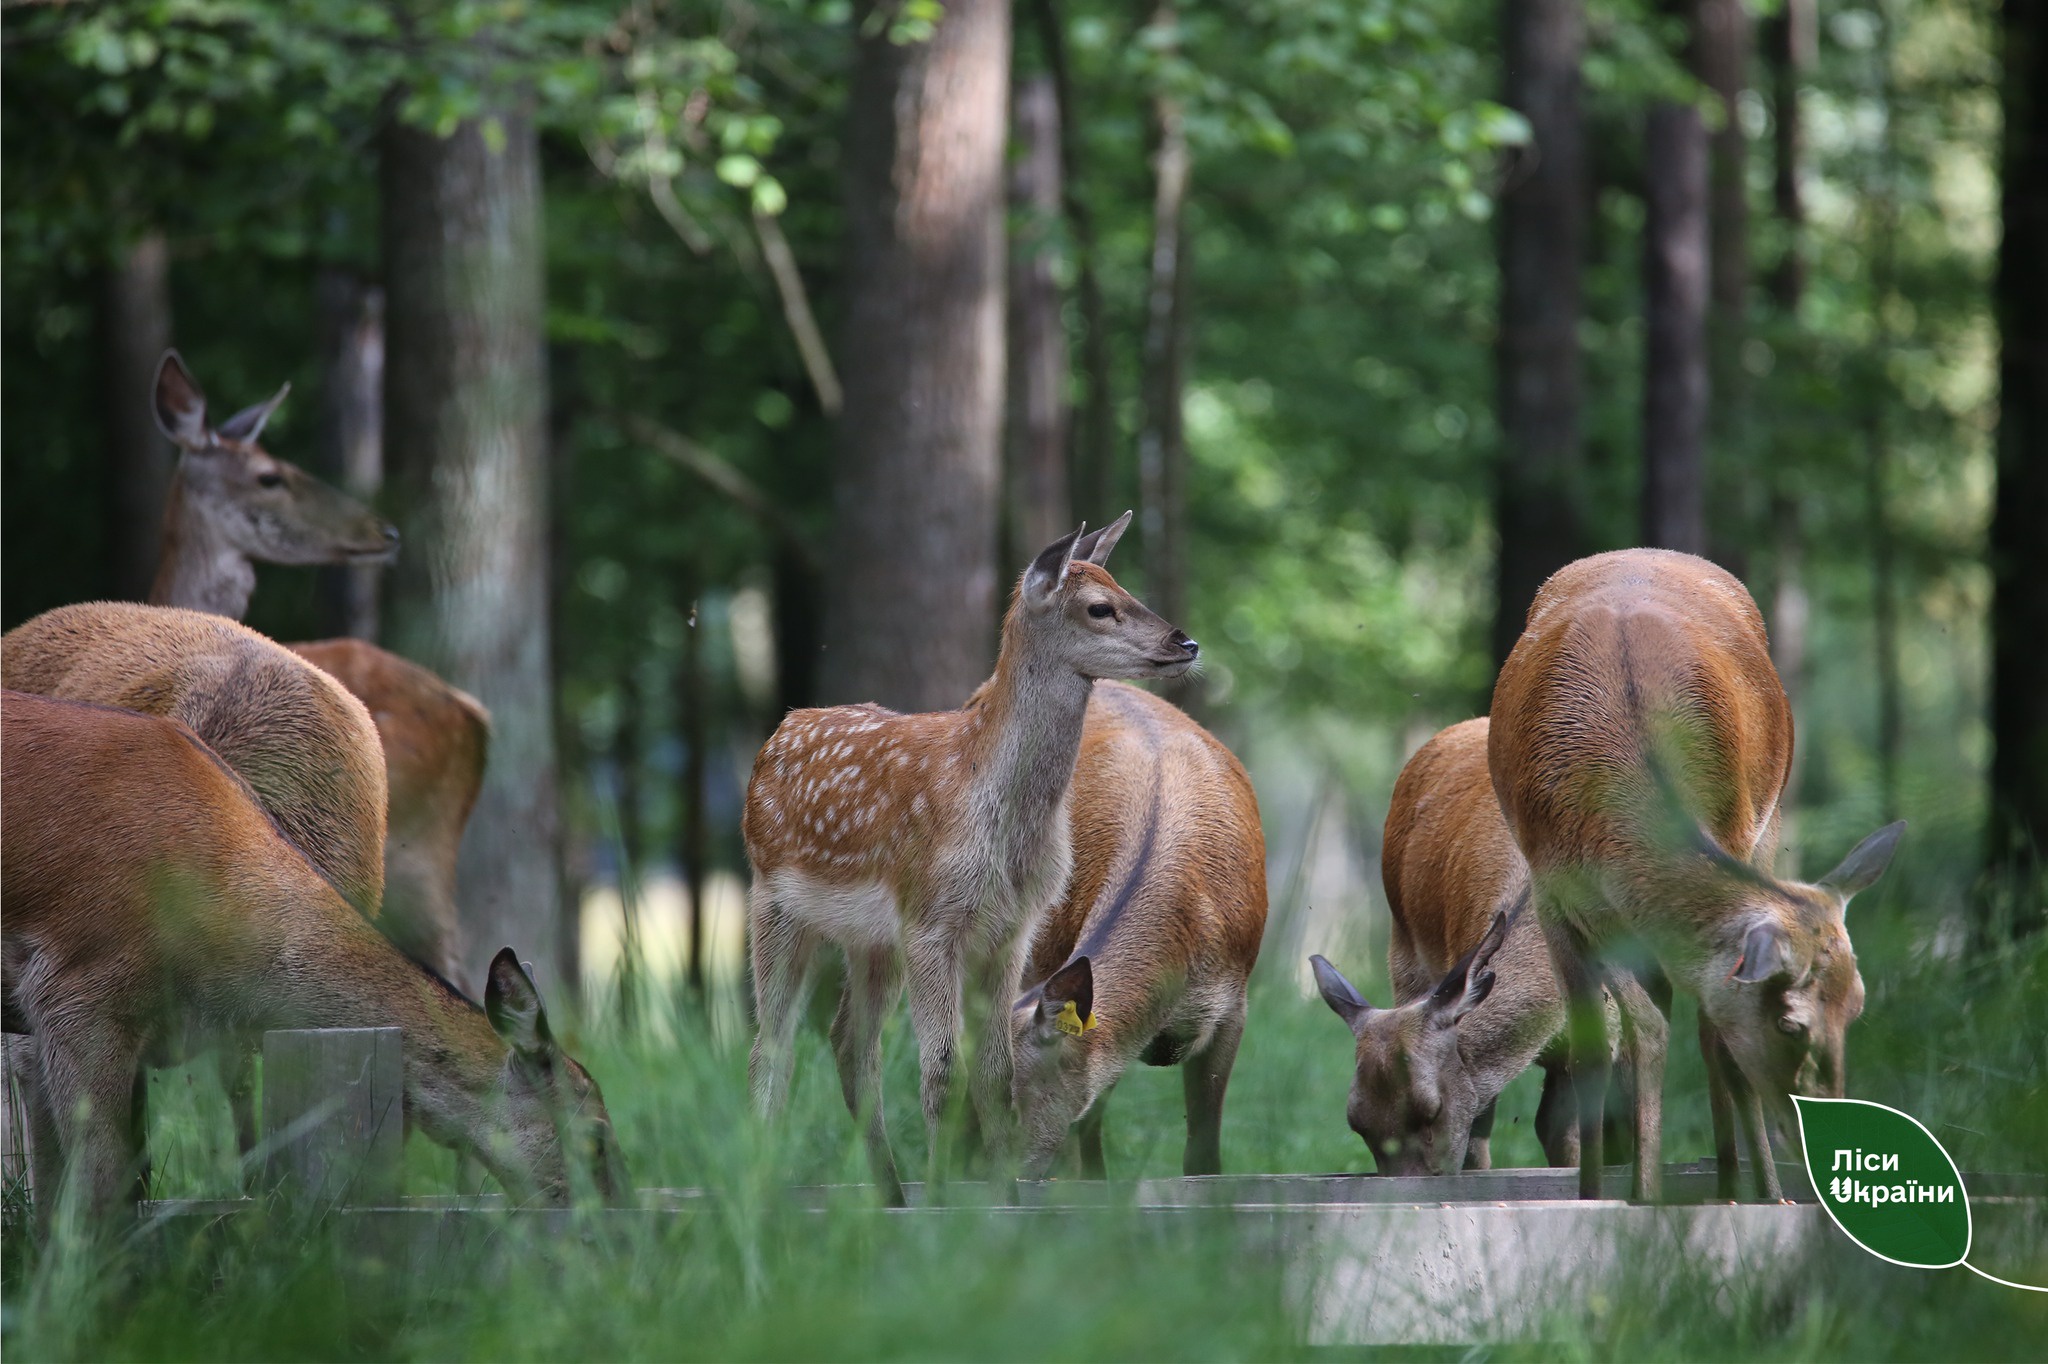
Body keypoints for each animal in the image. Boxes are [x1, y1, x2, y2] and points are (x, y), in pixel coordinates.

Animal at [745, 512, 1196, 1204]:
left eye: (1125, 587)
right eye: (1100, 607)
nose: (1186, 642)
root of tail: (780, 731)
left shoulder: (1010, 929)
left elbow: (994, 1074)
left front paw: (1002, 1195)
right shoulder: (933, 919)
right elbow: (940, 1071)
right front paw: (945, 1198)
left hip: (873, 940)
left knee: (849, 1043)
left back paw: (890, 1192)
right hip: (773, 899)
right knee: (773, 1043)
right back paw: (767, 1186)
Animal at [1490, 548, 1900, 1196]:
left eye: (1857, 1006)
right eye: (1791, 1024)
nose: (1822, 1134)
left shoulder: (1733, 836)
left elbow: (1694, 1033)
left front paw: (1756, 1196)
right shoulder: (1554, 892)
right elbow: (1609, 1044)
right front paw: (1614, 1196)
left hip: (1769, 823)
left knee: (1703, 1032)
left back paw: (1737, 1185)